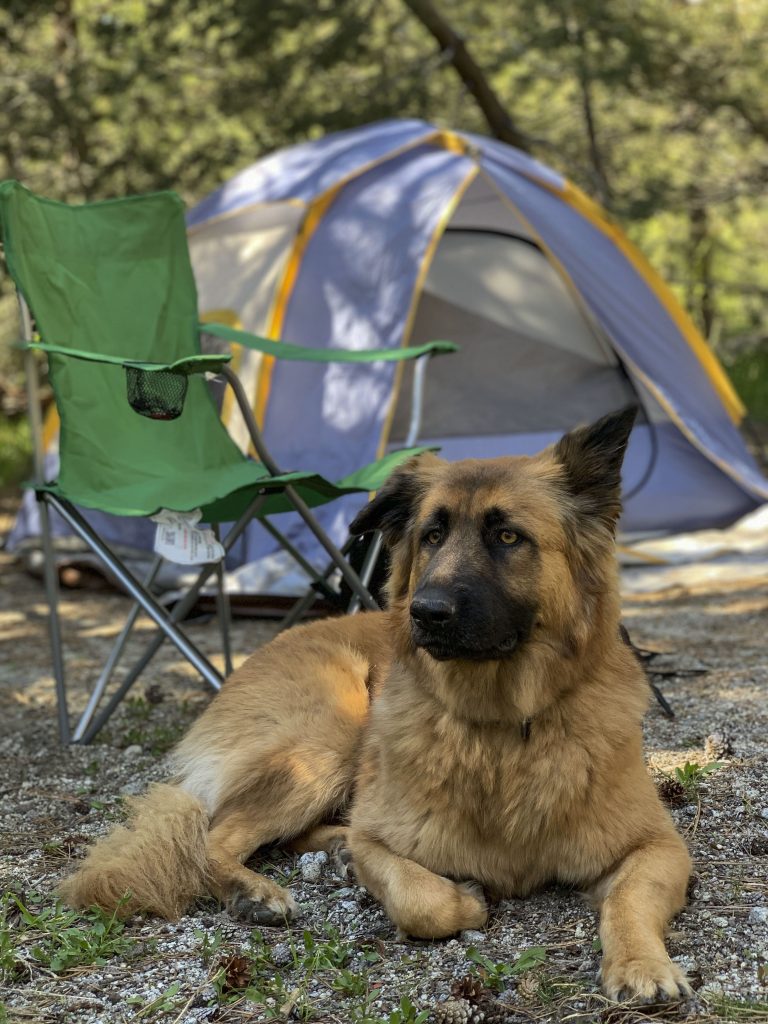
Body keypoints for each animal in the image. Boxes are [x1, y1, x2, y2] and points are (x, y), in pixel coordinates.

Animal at [63, 407, 696, 999]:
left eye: (508, 537)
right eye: (432, 536)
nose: (426, 613)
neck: (502, 727)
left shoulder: (659, 846)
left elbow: (628, 900)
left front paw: (640, 964)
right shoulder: (382, 841)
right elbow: (424, 902)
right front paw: (466, 897)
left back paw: (330, 851)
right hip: (333, 732)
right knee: (215, 834)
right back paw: (255, 889)